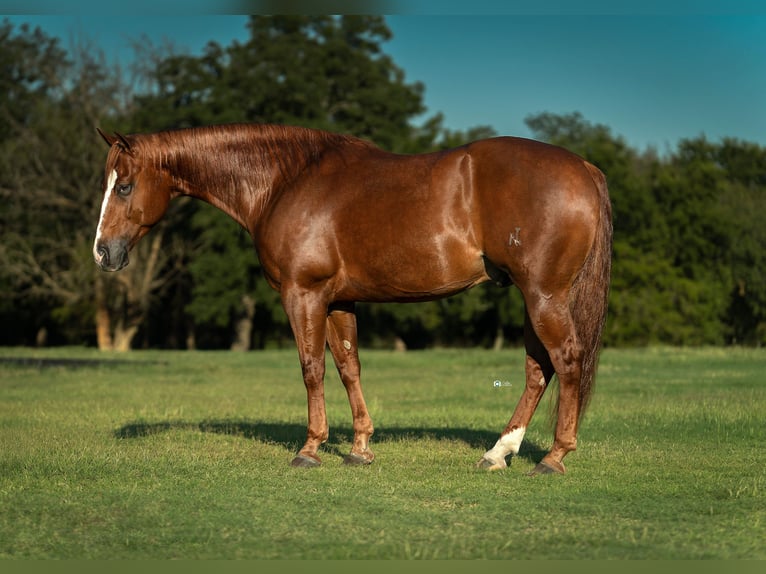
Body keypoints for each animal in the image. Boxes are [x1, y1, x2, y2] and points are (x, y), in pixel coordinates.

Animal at [93, 123, 612, 475]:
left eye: (125, 185)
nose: (102, 252)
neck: (286, 181)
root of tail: (583, 167)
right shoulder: (339, 301)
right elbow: (348, 366)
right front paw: (360, 448)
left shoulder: (303, 295)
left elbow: (312, 369)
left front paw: (310, 448)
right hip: (534, 298)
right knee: (538, 369)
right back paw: (498, 452)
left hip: (543, 295)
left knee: (566, 360)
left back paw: (554, 456)